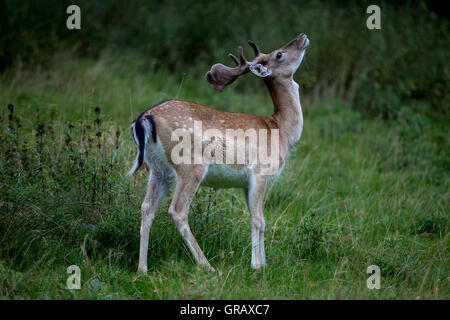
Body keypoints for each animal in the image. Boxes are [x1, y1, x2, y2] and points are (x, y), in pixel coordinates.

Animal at [127, 32, 310, 274]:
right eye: (279, 53)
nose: (302, 36)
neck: (280, 130)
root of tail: (143, 119)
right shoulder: (260, 172)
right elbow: (258, 220)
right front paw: (256, 266)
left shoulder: (246, 183)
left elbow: (259, 219)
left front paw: (264, 263)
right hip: (191, 165)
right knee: (177, 211)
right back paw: (207, 266)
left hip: (157, 170)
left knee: (147, 208)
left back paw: (143, 269)